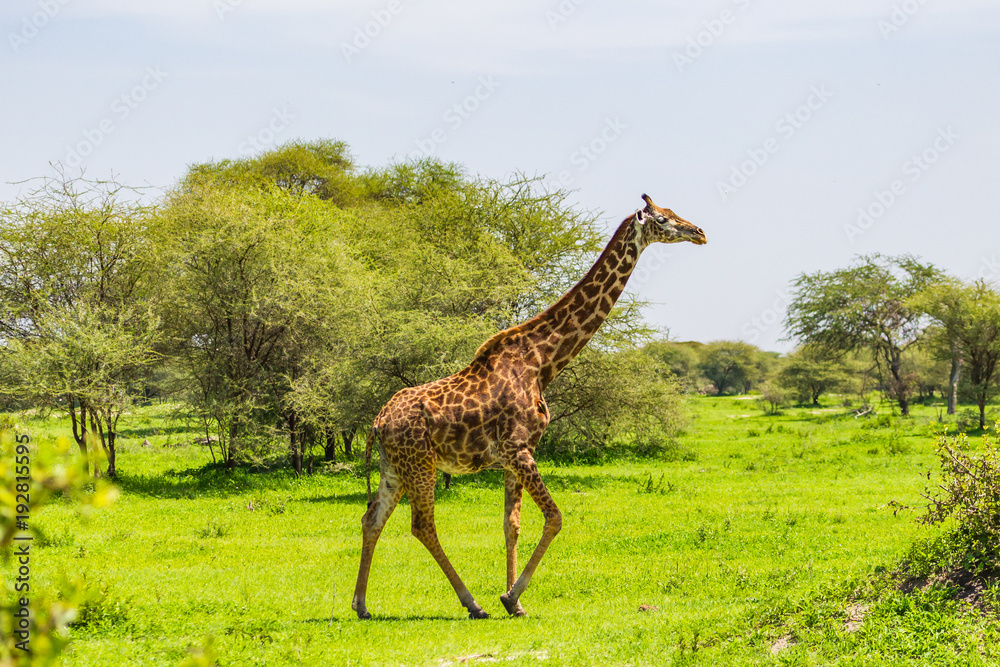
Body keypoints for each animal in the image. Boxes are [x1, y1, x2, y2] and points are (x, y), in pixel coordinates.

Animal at [352, 194, 707, 619]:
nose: (699, 232)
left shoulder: (511, 456)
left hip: (395, 468)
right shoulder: (519, 448)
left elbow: (512, 523)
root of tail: (377, 423)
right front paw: (510, 597)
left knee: (372, 518)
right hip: (420, 464)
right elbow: (554, 517)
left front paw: (515, 600)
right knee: (422, 525)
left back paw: (361, 605)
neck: (542, 361)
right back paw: (472, 603)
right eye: (663, 219)